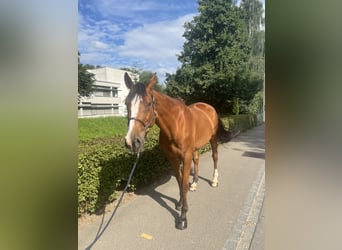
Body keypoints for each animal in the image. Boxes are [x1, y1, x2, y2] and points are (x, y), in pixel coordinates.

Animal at [123, 71, 235, 229]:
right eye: (126, 103)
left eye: (148, 104)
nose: (132, 142)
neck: (176, 124)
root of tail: (209, 107)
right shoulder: (172, 158)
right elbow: (180, 180)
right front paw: (180, 203)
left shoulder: (185, 156)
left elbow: (183, 183)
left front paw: (183, 217)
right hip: (196, 147)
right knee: (197, 159)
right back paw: (194, 183)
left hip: (213, 140)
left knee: (215, 157)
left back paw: (214, 181)